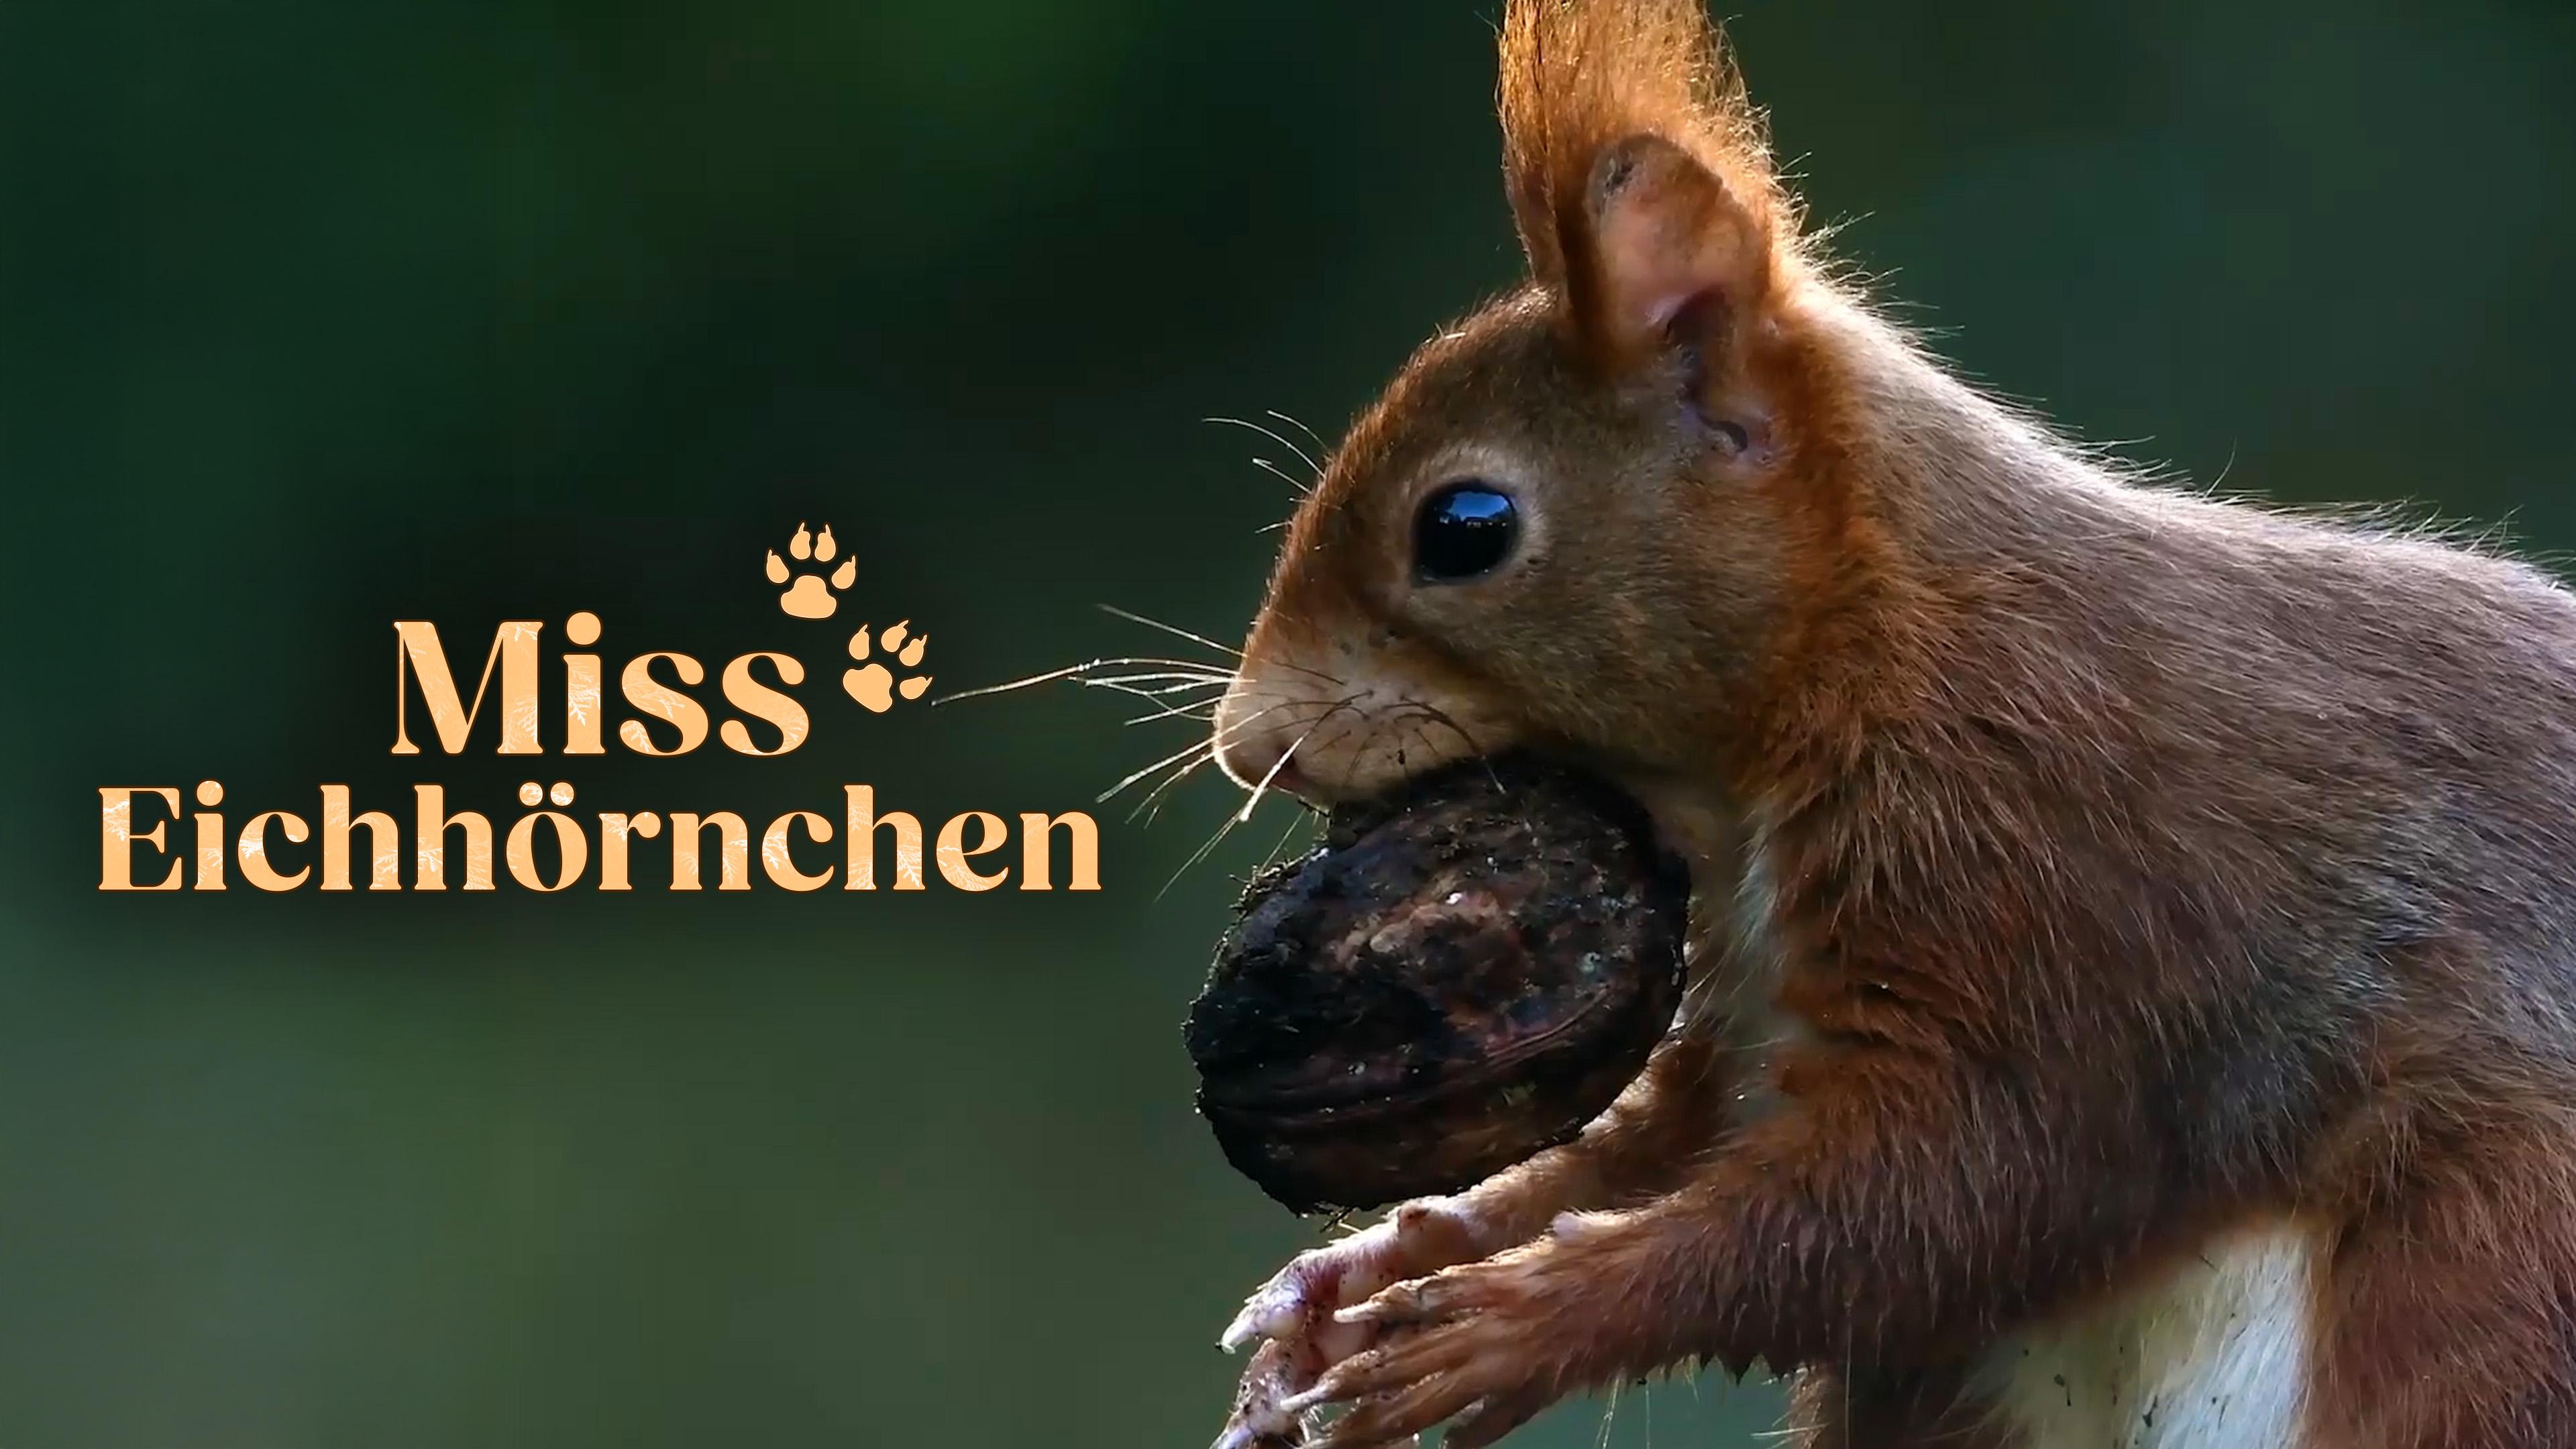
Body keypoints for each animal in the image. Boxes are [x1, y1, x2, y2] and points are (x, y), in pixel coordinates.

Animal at [1202, 1, 2576, 1447]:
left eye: (1466, 527)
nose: (1247, 745)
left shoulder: (2068, 863)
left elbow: (1965, 1183)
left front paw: (1513, 1325)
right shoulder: (1753, 1007)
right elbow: (1670, 1140)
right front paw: (1365, 1270)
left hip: (2483, 1272)